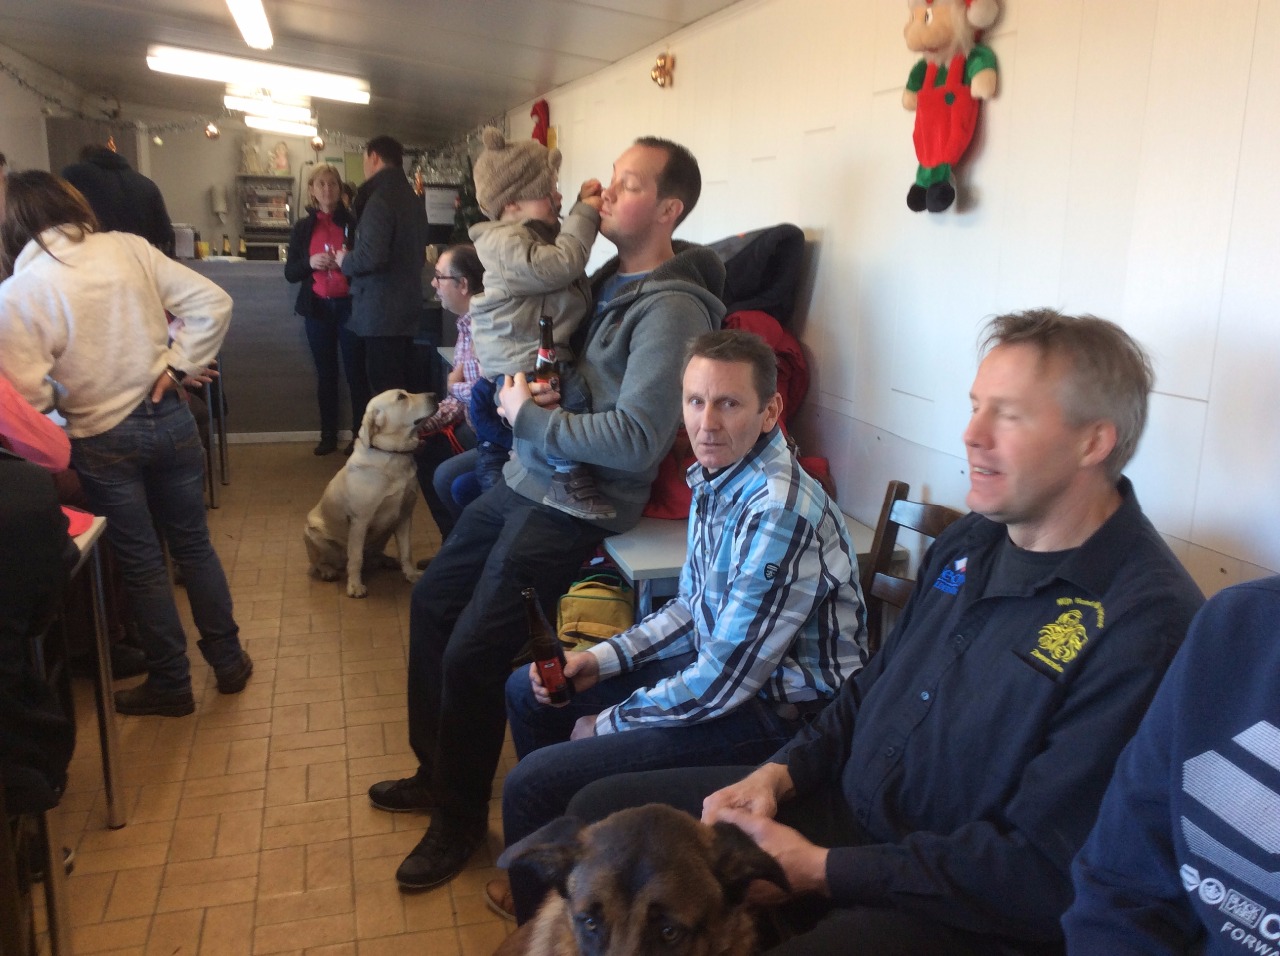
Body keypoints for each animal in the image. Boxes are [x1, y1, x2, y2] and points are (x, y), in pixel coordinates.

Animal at [304, 389, 435, 598]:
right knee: (320, 562)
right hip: (312, 534)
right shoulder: (360, 521)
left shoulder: (405, 515)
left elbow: (406, 550)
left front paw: (411, 574)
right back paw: (328, 571)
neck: (393, 455)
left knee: (374, 555)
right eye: (401, 397)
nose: (435, 394)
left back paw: (388, 560)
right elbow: (356, 557)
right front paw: (355, 586)